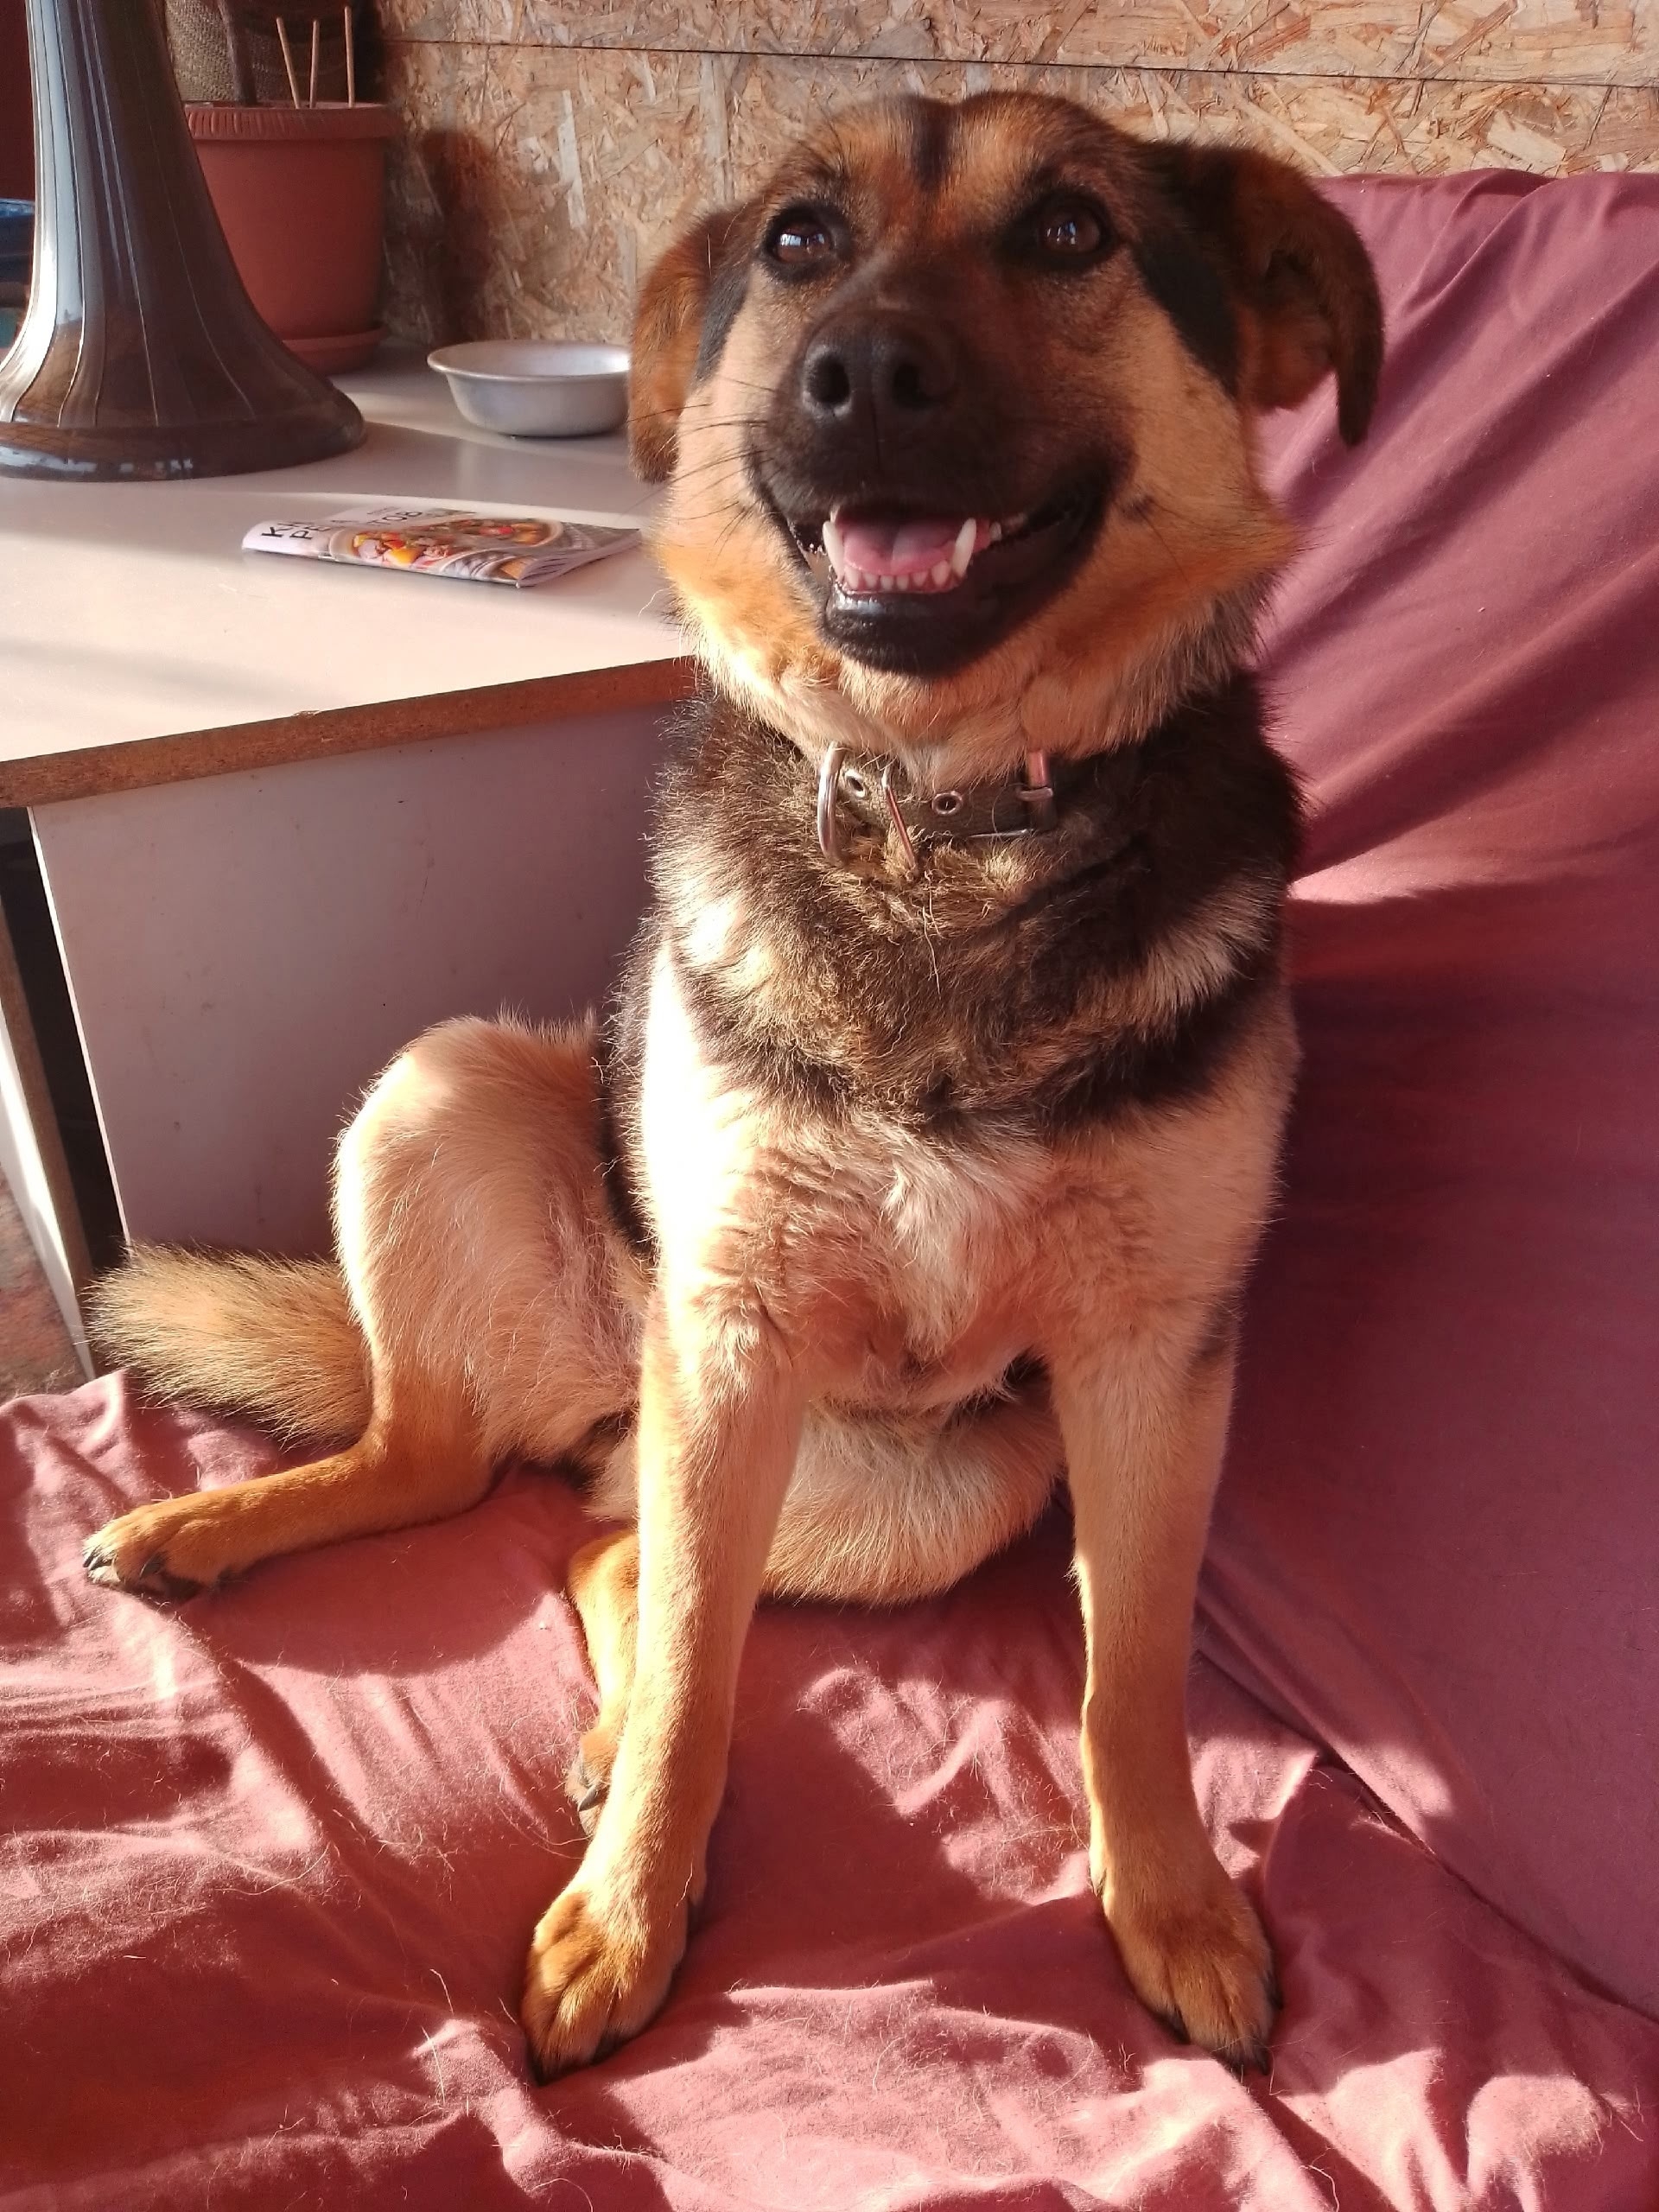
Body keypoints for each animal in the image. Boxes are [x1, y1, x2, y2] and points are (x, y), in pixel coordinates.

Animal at [83, 90, 1382, 2080]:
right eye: (798, 242)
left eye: (1072, 231)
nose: (862, 375)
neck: (940, 819)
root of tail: (592, 1396)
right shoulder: (736, 1329)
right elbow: (706, 1676)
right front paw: (631, 1910)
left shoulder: (1152, 1371)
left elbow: (1135, 1675)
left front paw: (1164, 1897)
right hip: (465, 1119)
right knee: (450, 1471)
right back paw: (235, 1533)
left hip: (936, 1494)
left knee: (597, 1554)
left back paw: (591, 1733)